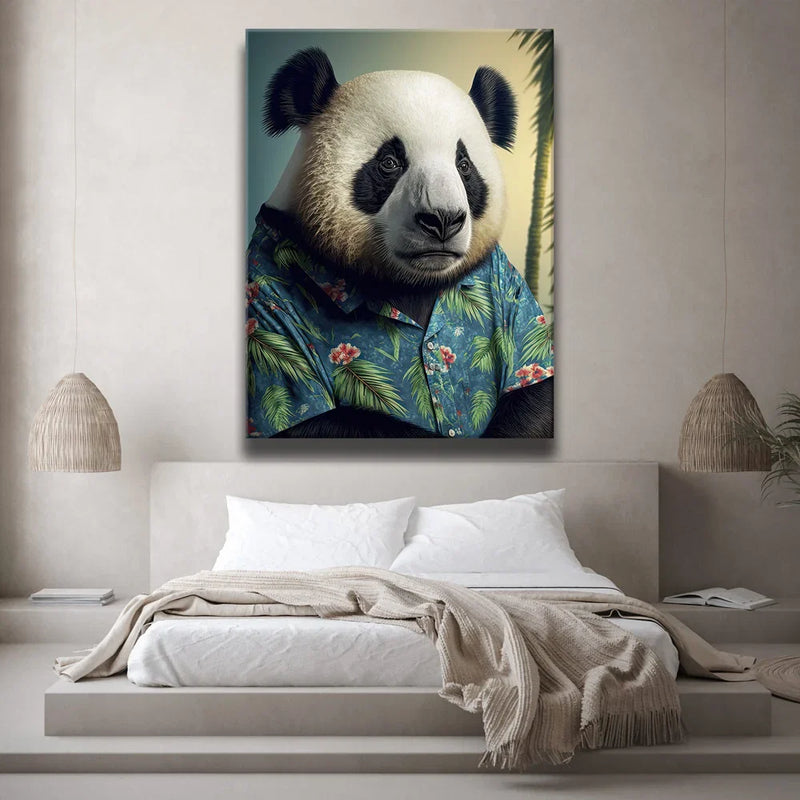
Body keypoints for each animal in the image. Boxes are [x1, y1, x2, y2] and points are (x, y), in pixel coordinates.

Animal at [246, 48, 554, 438]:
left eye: (464, 165)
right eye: (390, 162)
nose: (442, 219)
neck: (409, 280)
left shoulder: (506, 282)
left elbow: (534, 393)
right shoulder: (264, 314)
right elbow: (315, 422)